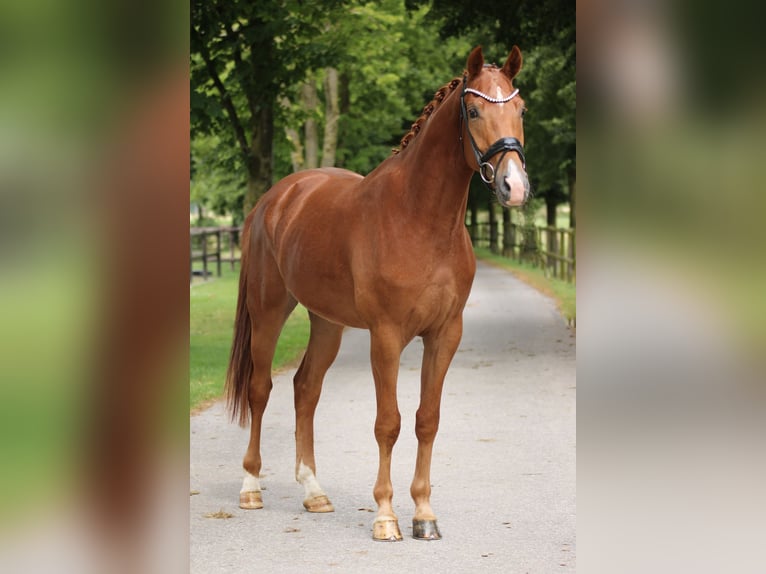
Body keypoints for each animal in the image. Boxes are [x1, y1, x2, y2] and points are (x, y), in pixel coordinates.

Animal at [225, 46, 532, 544]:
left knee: (305, 389)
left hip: (327, 322)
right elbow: (388, 423)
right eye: (472, 110)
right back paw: (250, 486)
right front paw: (386, 516)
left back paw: (314, 492)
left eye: (520, 109)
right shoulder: (386, 336)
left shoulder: (445, 335)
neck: (419, 219)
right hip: (269, 310)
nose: (514, 186)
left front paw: (424, 514)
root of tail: (275, 199)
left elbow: (427, 420)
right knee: (260, 388)